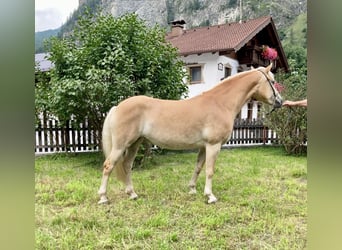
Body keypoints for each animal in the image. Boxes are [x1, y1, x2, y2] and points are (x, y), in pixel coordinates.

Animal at [97, 62, 282, 203]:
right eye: (272, 81)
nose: (280, 101)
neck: (220, 103)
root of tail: (117, 107)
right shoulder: (213, 145)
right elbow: (209, 170)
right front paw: (210, 196)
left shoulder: (203, 147)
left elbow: (198, 167)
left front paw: (192, 189)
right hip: (121, 145)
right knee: (108, 166)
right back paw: (103, 197)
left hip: (135, 143)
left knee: (127, 165)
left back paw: (132, 194)